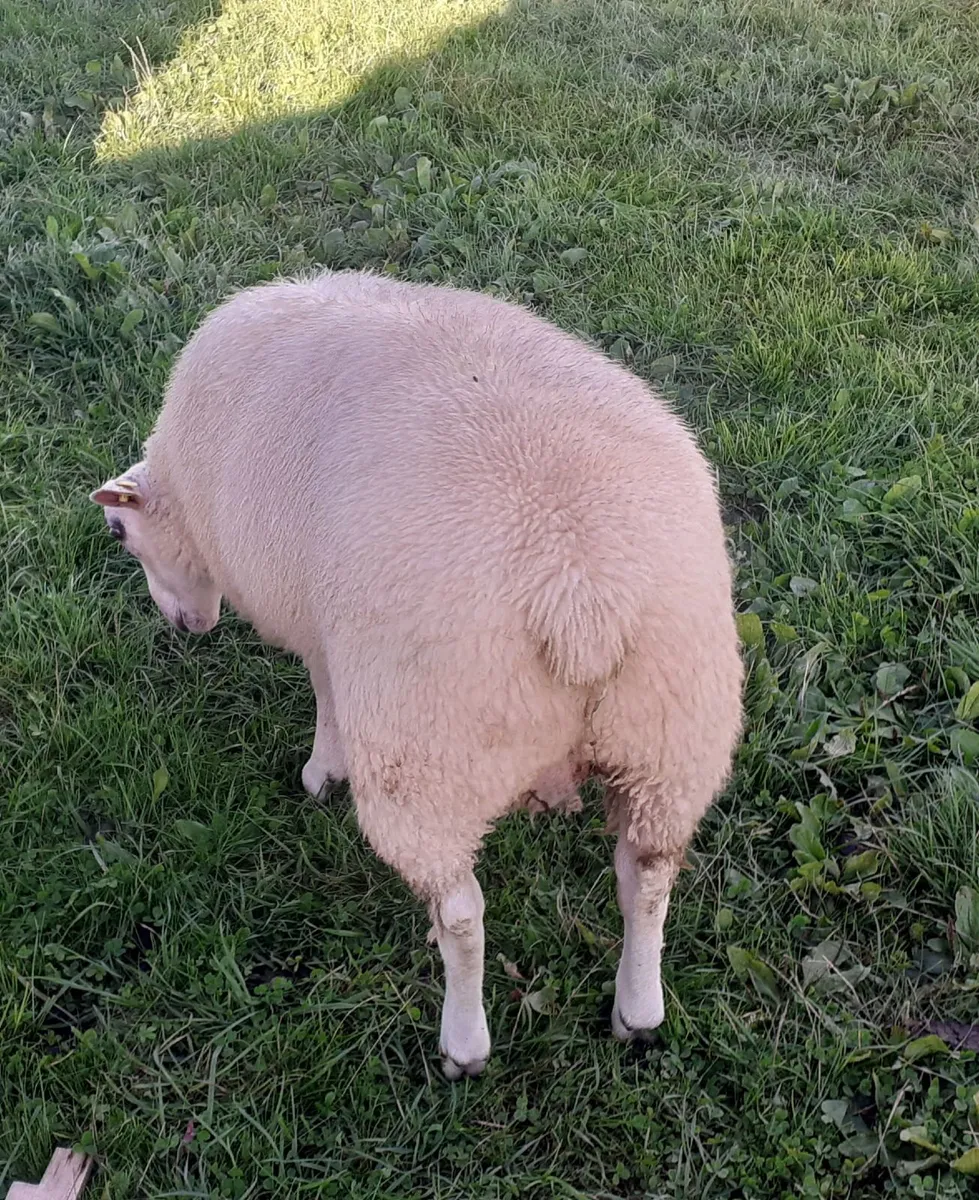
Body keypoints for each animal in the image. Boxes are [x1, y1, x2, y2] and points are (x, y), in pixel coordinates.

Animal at [90, 269, 743, 1080]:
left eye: (120, 532)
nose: (186, 629)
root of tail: (579, 593)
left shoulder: (319, 627)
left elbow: (327, 700)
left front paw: (321, 775)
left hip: (431, 754)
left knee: (462, 913)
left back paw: (464, 1043)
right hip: (673, 735)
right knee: (648, 878)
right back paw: (638, 1012)